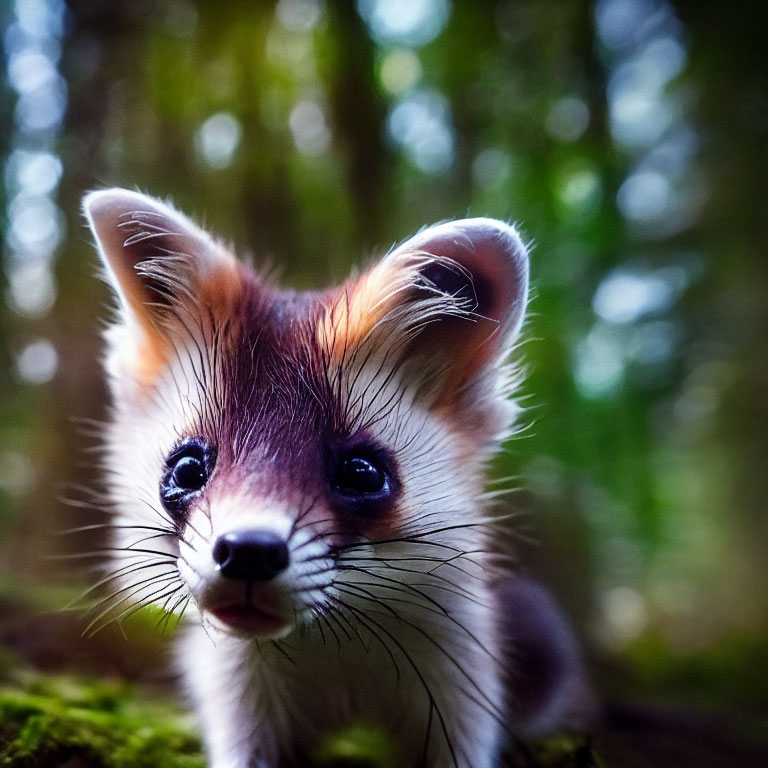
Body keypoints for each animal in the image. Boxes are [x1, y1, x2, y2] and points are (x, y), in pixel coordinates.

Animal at [82, 190, 588, 768]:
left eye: (362, 472)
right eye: (188, 467)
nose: (248, 550)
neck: (337, 656)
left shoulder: (461, 687)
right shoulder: (238, 695)